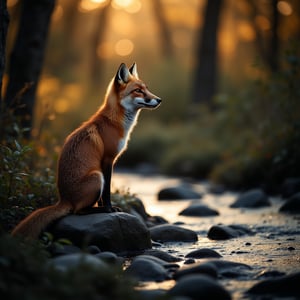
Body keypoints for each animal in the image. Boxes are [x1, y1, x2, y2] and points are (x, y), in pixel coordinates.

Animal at [11, 62, 162, 239]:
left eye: (146, 88)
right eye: (138, 90)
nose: (159, 100)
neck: (114, 123)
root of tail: (63, 198)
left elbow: (104, 195)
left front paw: (107, 209)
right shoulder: (107, 159)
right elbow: (107, 193)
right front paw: (109, 209)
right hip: (96, 177)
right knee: (78, 211)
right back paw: (98, 210)